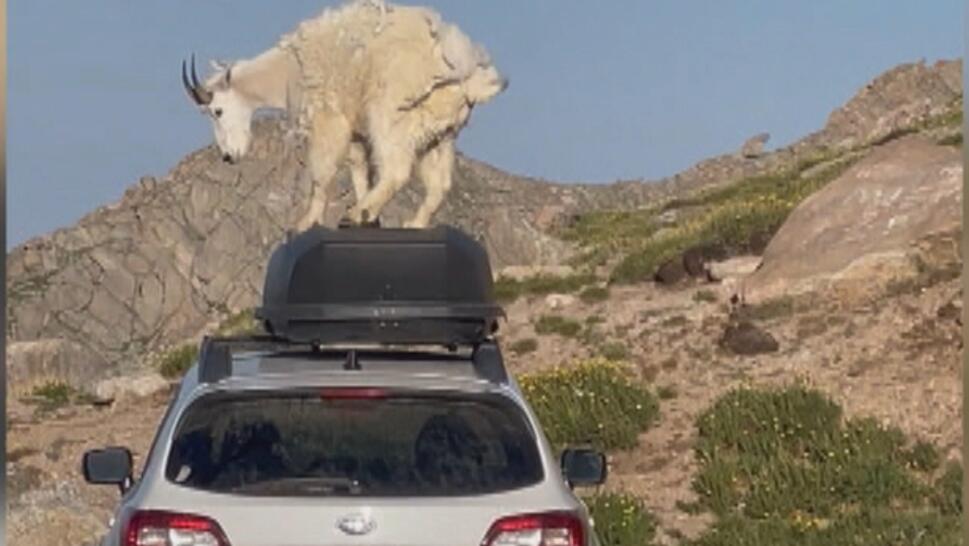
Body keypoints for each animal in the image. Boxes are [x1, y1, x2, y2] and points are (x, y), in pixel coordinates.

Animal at [180, 0, 506, 230]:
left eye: (217, 111)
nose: (228, 156)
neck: (289, 68)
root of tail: (466, 74)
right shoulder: (356, 132)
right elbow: (359, 171)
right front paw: (371, 216)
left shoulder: (328, 119)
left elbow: (322, 173)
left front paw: (305, 222)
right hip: (440, 134)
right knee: (439, 185)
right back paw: (411, 222)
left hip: (393, 117)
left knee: (397, 169)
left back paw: (357, 214)